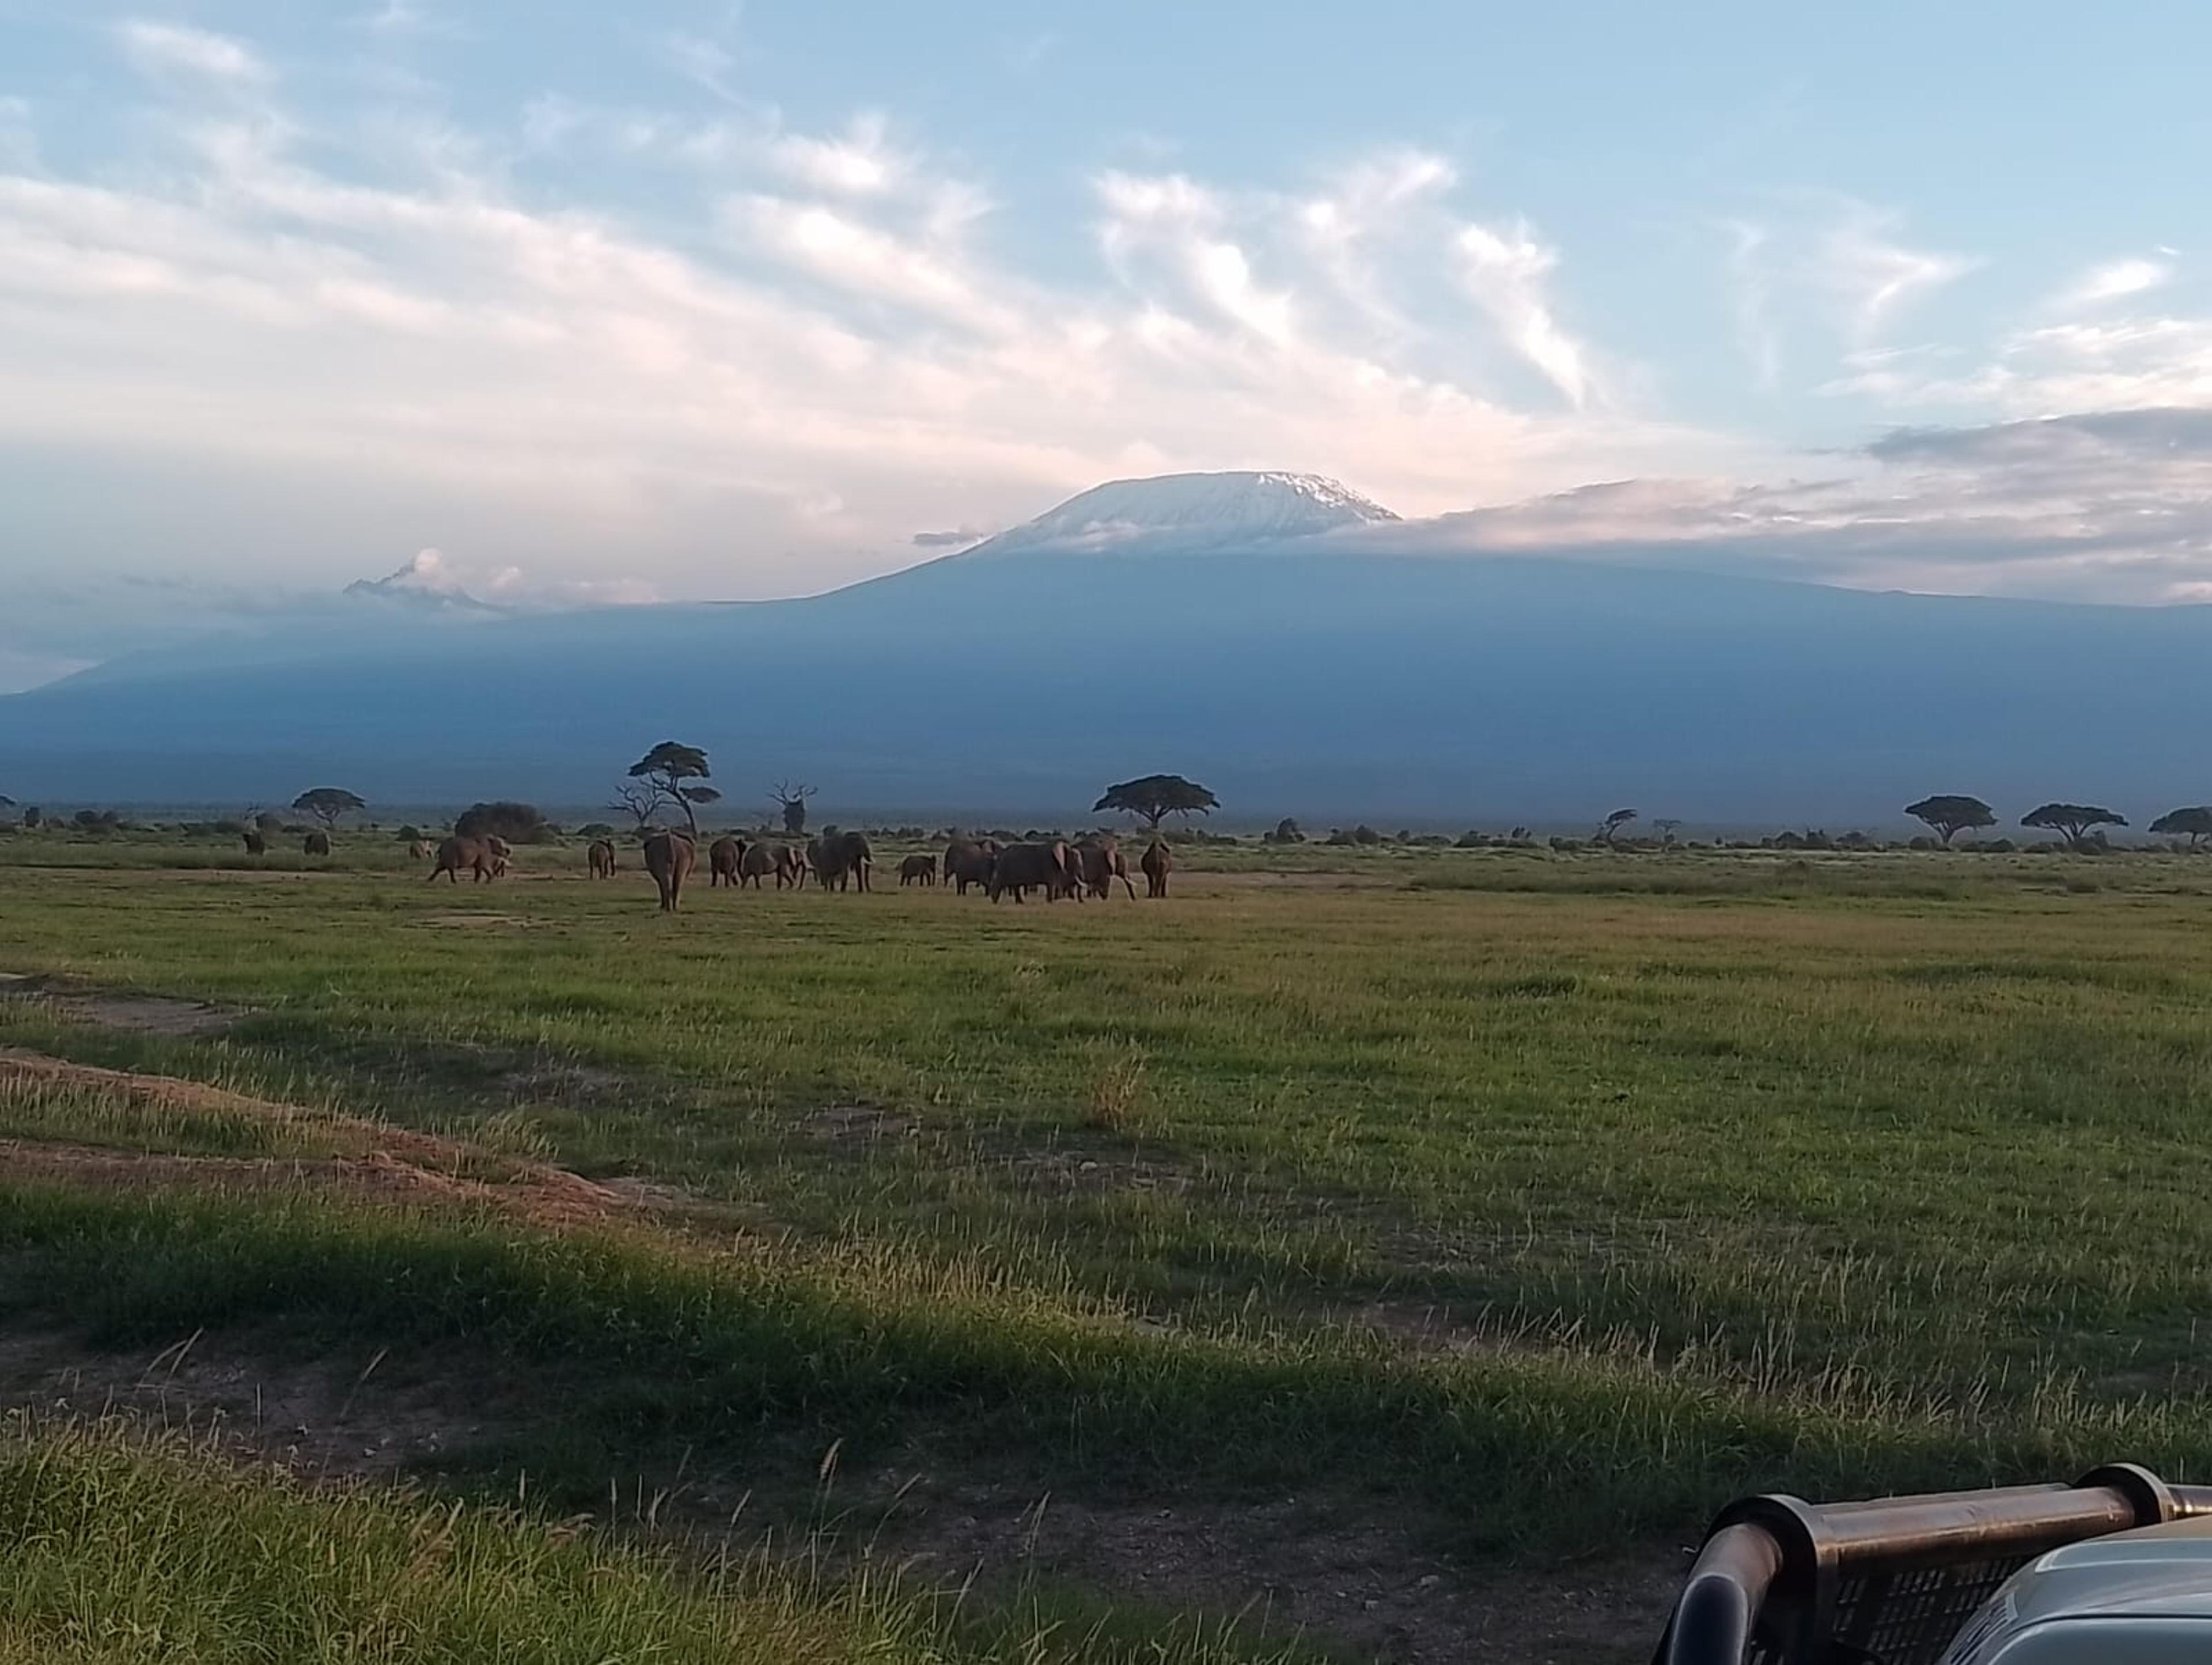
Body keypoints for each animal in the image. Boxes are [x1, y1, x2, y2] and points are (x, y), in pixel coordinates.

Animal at [643, 831, 696, 912]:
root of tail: (669, 839)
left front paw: (661, 907)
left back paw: (669, 908)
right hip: (681, 856)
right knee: (677, 881)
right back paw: (673, 908)